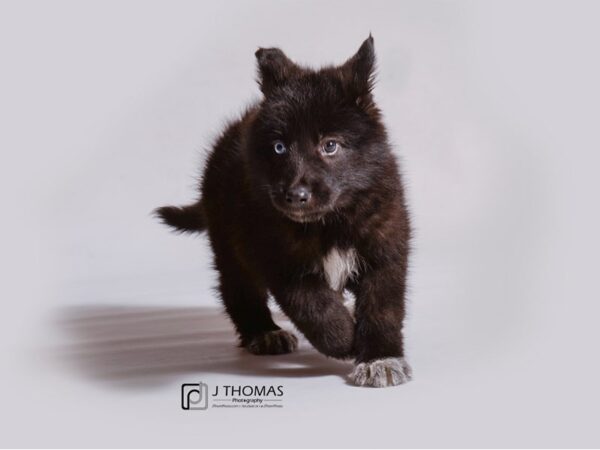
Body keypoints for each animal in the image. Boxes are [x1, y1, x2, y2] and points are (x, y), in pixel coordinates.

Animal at [156, 36, 412, 386]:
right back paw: (264, 333)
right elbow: (314, 306)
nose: (295, 195)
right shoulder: (277, 257)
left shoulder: (385, 250)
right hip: (228, 241)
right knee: (238, 289)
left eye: (330, 145)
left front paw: (380, 359)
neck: (329, 222)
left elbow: (382, 309)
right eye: (279, 147)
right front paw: (344, 336)